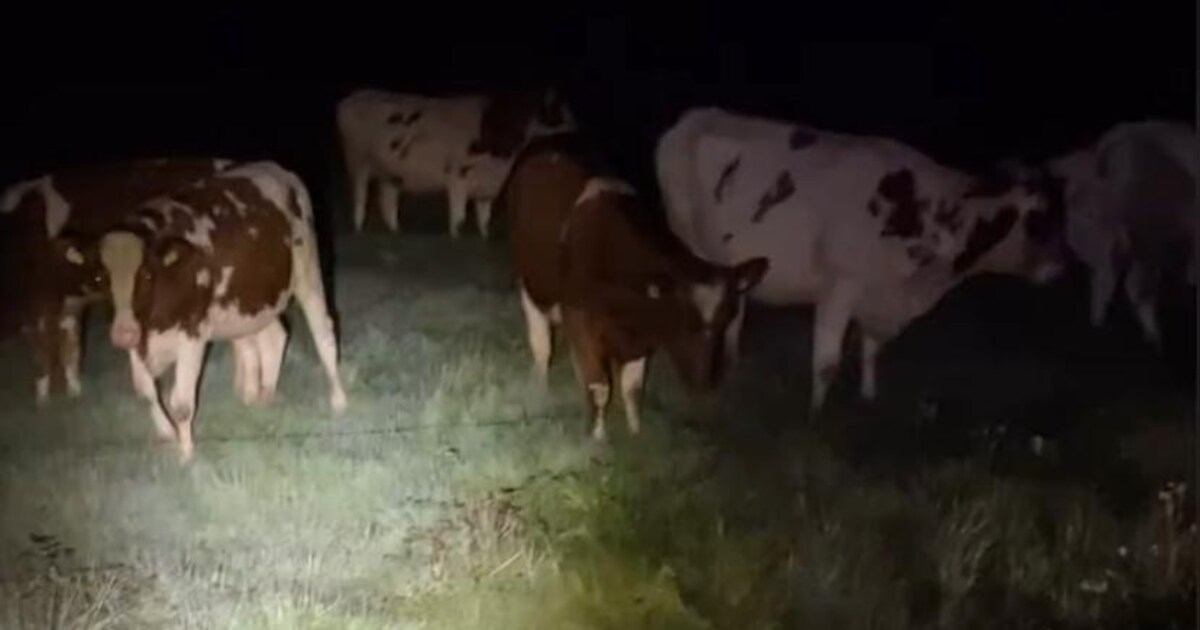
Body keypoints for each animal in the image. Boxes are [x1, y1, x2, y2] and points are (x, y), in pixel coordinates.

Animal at [0, 158, 232, 405]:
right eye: (100, 277)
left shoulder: (40, 309)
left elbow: (50, 356)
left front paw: (45, 402)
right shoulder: (59, 309)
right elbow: (69, 352)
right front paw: (71, 395)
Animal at [97, 161, 348, 462]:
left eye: (145, 274)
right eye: (101, 280)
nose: (121, 334)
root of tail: (279, 171)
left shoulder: (192, 333)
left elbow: (181, 403)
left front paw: (186, 456)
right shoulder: (138, 339)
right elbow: (146, 393)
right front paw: (168, 434)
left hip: (306, 272)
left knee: (324, 332)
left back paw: (339, 400)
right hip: (252, 302)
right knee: (275, 337)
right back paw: (262, 397)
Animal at [337, 87, 575, 238]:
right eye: (557, 107)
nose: (576, 122)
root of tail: (355, 96)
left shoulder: (487, 185)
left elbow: (484, 220)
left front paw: (483, 239)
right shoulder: (458, 178)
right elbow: (459, 218)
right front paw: (456, 239)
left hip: (391, 171)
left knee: (387, 201)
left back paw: (396, 232)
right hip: (358, 161)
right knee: (360, 197)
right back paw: (359, 229)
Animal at [504, 134, 768, 441]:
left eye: (727, 320)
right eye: (683, 320)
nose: (703, 382)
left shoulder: (642, 339)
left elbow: (632, 387)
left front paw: (635, 434)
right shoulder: (580, 320)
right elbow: (599, 386)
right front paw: (597, 437)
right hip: (530, 281)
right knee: (542, 344)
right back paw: (540, 386)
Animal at [655, 107, 1069, 415]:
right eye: (1039, 218)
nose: (1060, 267)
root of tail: (695, 116)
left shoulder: (880, 296)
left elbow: (871, 348)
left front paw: (869, 397)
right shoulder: (842, 285)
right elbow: (826, 362)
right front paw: (815, 417)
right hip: (688, 239)